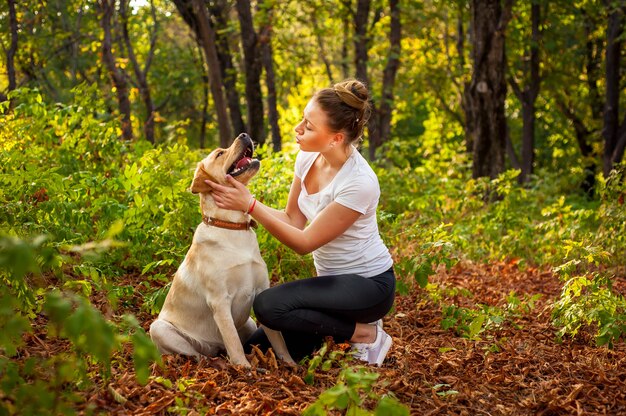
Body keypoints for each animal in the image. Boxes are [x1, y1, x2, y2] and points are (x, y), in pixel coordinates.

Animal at [152, 133, 296, 368]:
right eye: (219, 154)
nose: (244, 134)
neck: (232, 226)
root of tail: (213, 348)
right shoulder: (219, 300)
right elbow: (233, 340)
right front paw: (244, 368)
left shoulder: (261, 290)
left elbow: (278, 338)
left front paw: (290, 363)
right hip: (160, 328)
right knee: (196, 353)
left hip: (248, 322)